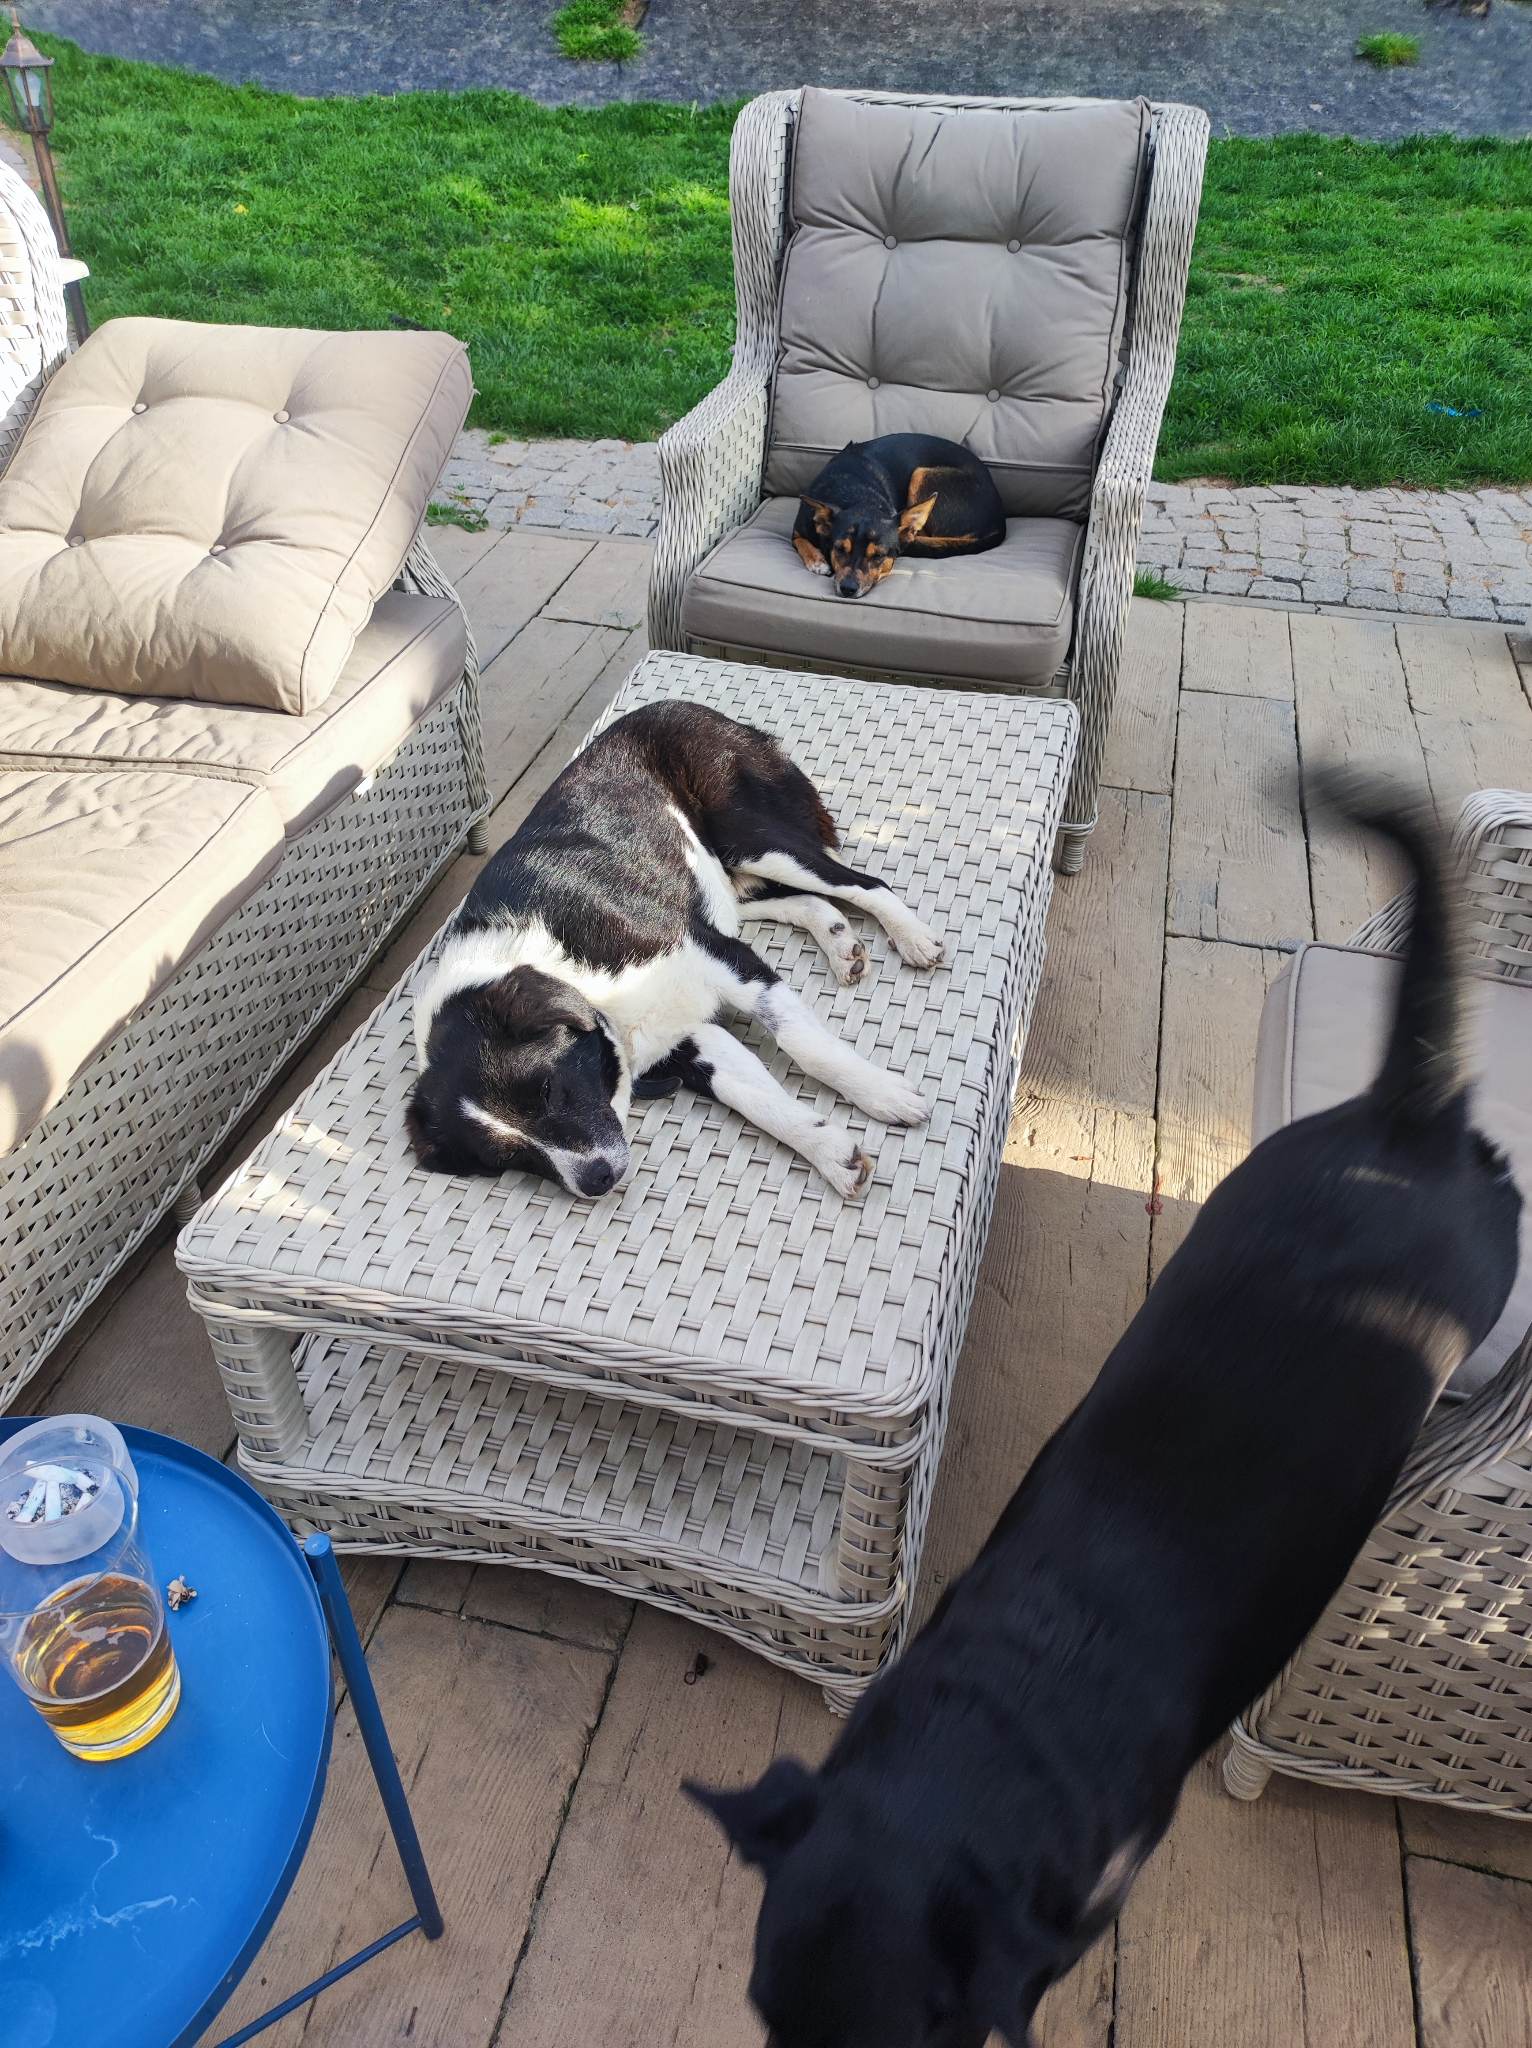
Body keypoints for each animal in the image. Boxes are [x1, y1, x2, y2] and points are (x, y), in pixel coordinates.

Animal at [407, 701, 945, 1200]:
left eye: (548, 1090)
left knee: (863, 884)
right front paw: (831, 1154)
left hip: (754, 839)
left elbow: (804, 1046)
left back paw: (913, 937)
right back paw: (839, 942)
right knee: (798, 900)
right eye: (508, 1158)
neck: (578, 982)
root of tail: (693, 708)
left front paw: (883, 1094)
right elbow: (753, 1098)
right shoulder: (691, 1038)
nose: (596, 1182)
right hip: (727, 877)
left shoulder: (726, 961)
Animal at [793, 433, 1006, 598]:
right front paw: (817, 561)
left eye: (879, 556)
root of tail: (999, 520)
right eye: (839, 549)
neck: (854, 493)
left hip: (921, 474)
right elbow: (800, 541)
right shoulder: (797, 530)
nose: (848, 589)